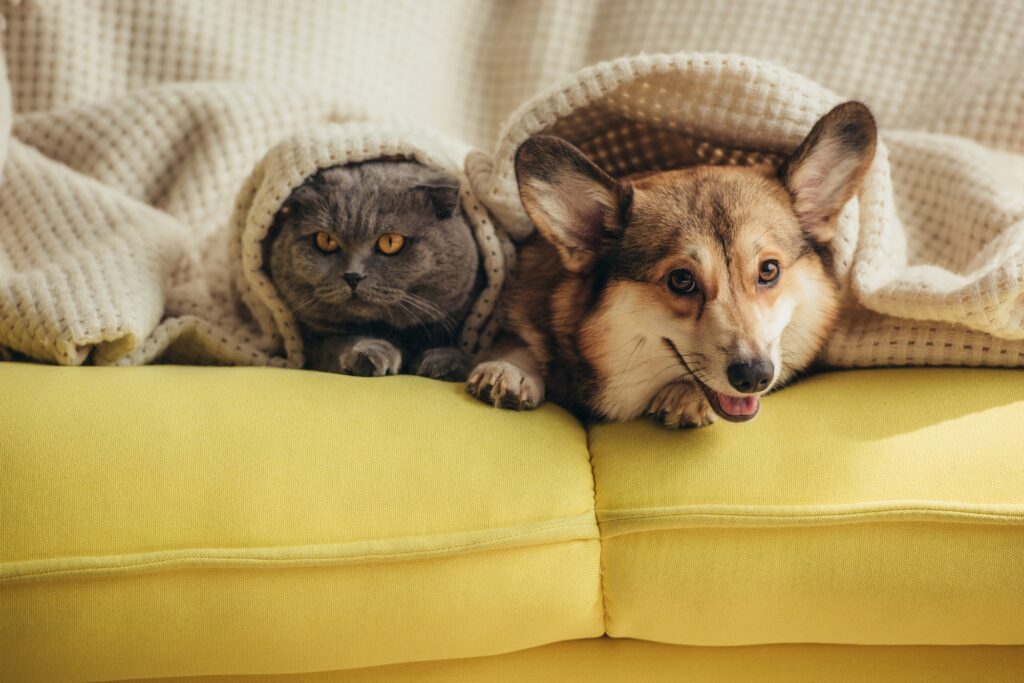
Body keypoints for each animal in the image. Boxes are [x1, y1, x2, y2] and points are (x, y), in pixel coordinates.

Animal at [268, 162, 483, 382]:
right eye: (325, 240)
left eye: (390, 242)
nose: (353, 276)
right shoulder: (312, 344)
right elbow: (339, 341)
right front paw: (369, 354)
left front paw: (444, 362)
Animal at [468, 101, 876, 428]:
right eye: (681, 280)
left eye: (769, 270)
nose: (755, 377)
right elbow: (520, 339)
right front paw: (509, 368)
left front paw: (684, 396)